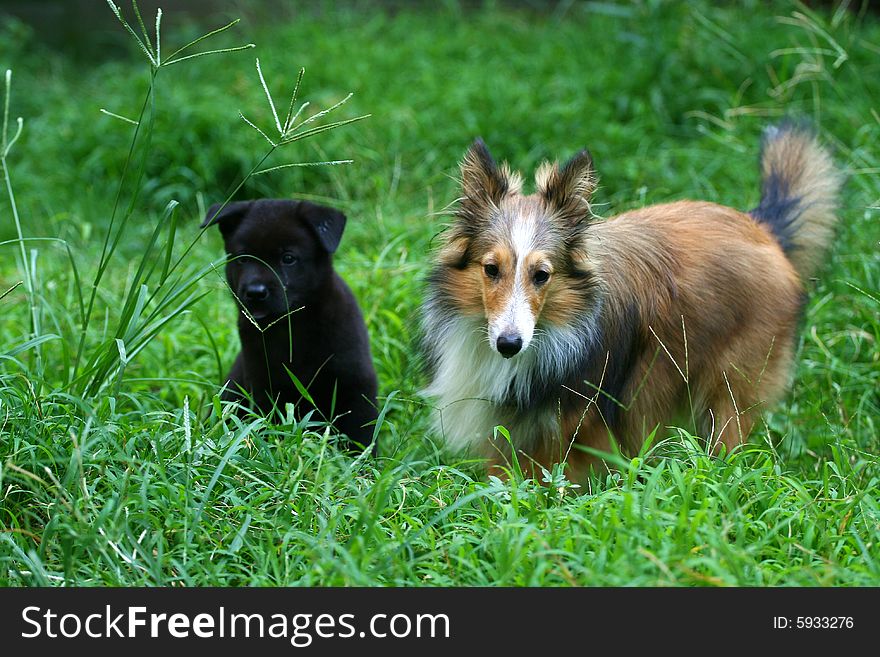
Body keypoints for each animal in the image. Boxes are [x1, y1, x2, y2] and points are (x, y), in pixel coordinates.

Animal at [205, 199, 380, 452]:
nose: (255, 292)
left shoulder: (355, 383)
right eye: (243, 259)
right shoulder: (263, 385)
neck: (292, 326)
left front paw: (360, 461)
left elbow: (361, 434)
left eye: (288, 258)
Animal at [422, 124, 844, 482]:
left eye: (542, 275)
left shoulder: (577, 431)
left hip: (729, 389)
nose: (509, 345)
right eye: (491, 269)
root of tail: (762, 227)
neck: (558, 330)